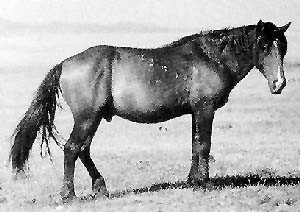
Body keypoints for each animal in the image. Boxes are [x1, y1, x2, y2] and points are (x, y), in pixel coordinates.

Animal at [9, 20, 290, 200]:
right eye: (265, 46)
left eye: (283, 47)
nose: (280, 84)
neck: (211, 58)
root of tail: (64, 64)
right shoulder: (205, 110)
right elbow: (204, 145)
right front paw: (206, 183)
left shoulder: (195, 112)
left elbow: (194, 145)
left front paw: (192, 181)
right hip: (87, 118)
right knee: (71, 149)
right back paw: (69, 195)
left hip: (92, 119)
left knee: (83, 150)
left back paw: (100, 188)